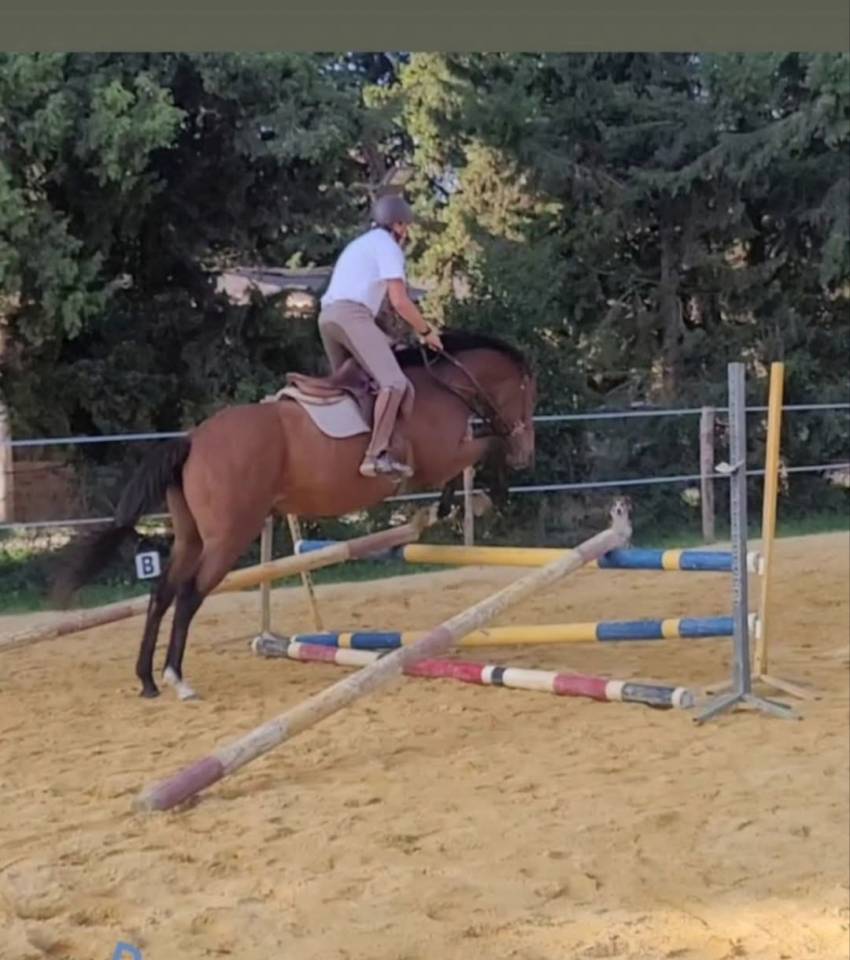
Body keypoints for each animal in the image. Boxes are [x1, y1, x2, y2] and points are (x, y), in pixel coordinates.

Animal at [52, 331, 537, 700]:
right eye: (528, 397)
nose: (526, 453)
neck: (444, 385)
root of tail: (192, 439)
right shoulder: (442, 457)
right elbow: (484, 448)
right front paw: (477, 496)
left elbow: (478, 454)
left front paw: (453, 504)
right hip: (228, 538)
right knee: (190, 595)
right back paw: (177, 678)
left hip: (192, 538)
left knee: (162, 594)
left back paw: (148, 680)